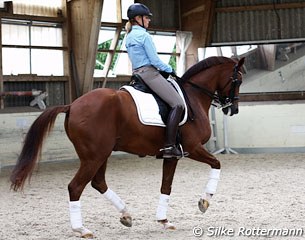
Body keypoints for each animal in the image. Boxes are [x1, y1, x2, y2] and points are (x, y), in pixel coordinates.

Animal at [10, 56, 245, 238]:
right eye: (239, 80)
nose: (233, 109)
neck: (193, 96)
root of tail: (72, 105)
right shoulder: (193, 147)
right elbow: (217, 163)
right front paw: (204, 201)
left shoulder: (171, 155)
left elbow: (166, 186)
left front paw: (164, 220)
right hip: (94, 157)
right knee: (75, 187)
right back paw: (82, 229)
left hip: (100, 155)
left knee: (99, 183)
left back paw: (126, 214)